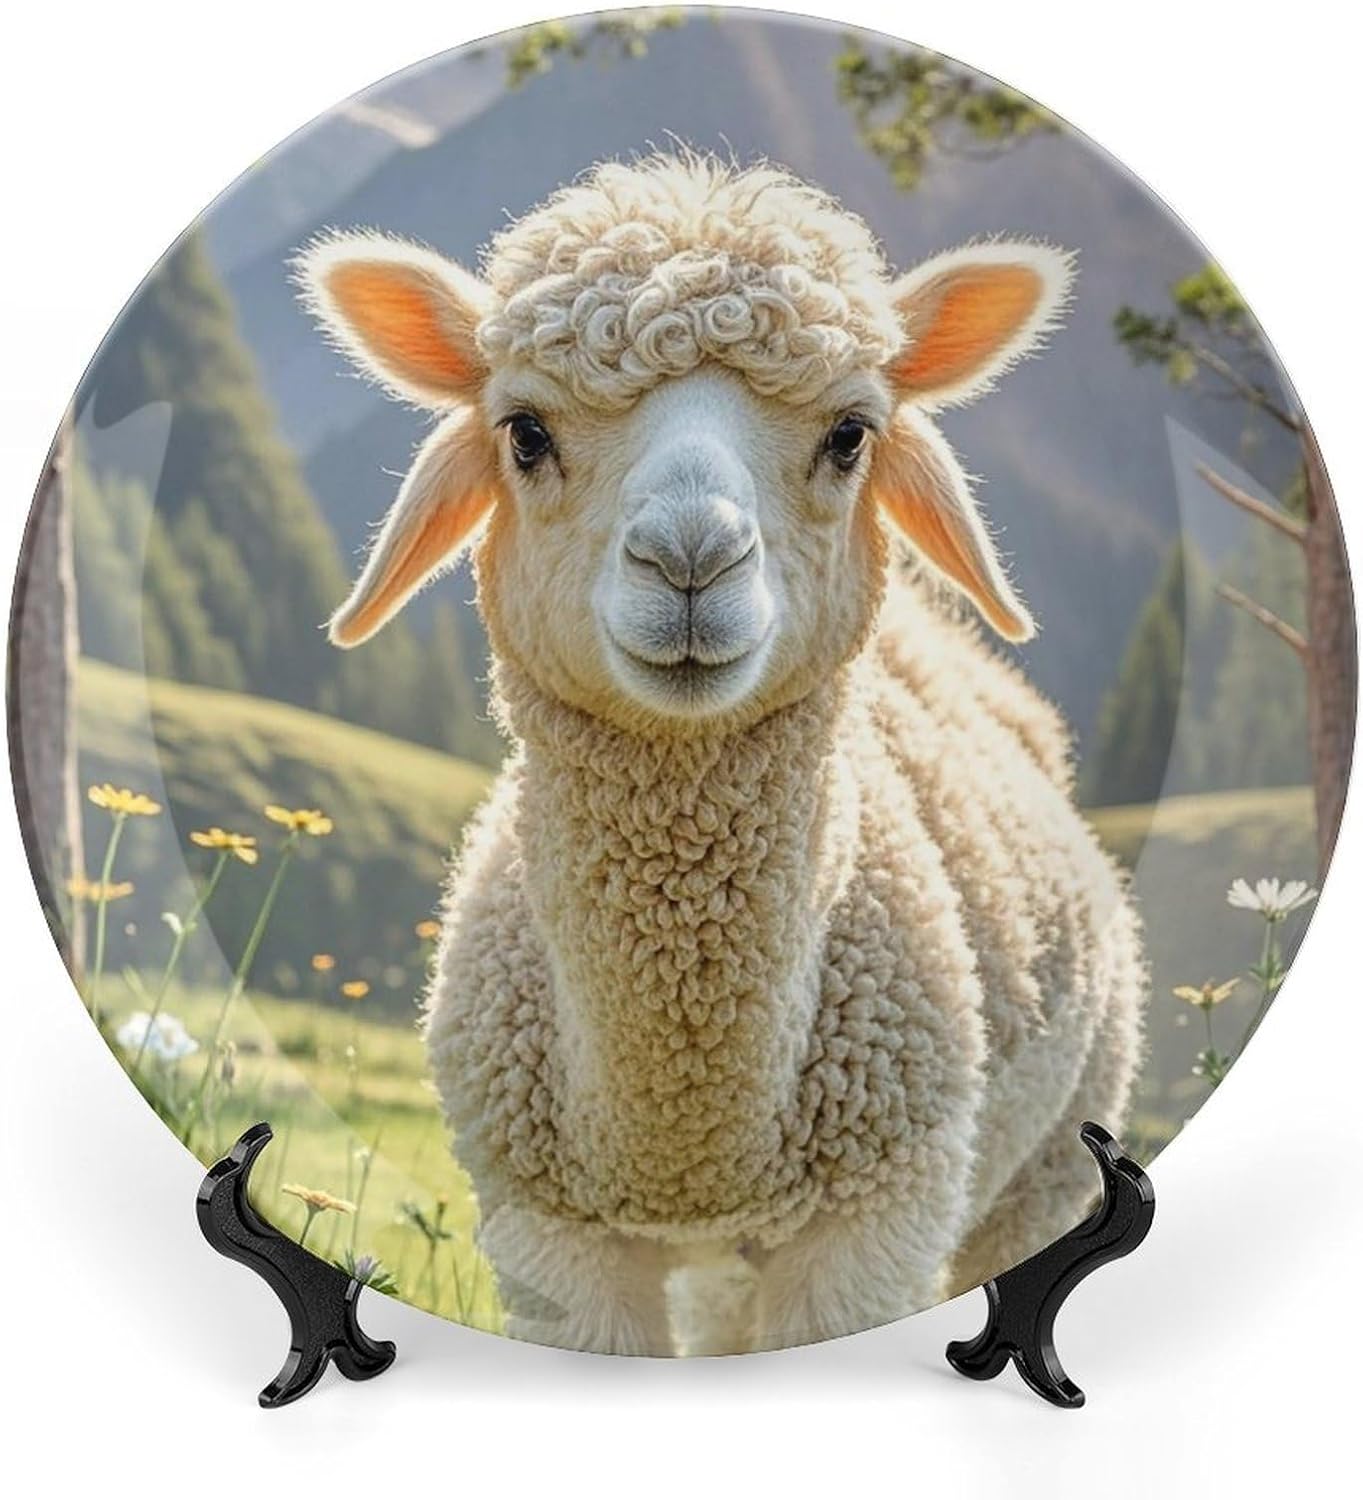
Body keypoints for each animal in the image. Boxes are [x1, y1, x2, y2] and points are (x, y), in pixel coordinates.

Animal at [298, 154, 1146, 1356]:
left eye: (850, 434)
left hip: (1051, 1156)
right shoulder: (551, 1233)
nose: (691, 559)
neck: (686, 1129)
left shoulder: (873, 1219)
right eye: (524, 433)